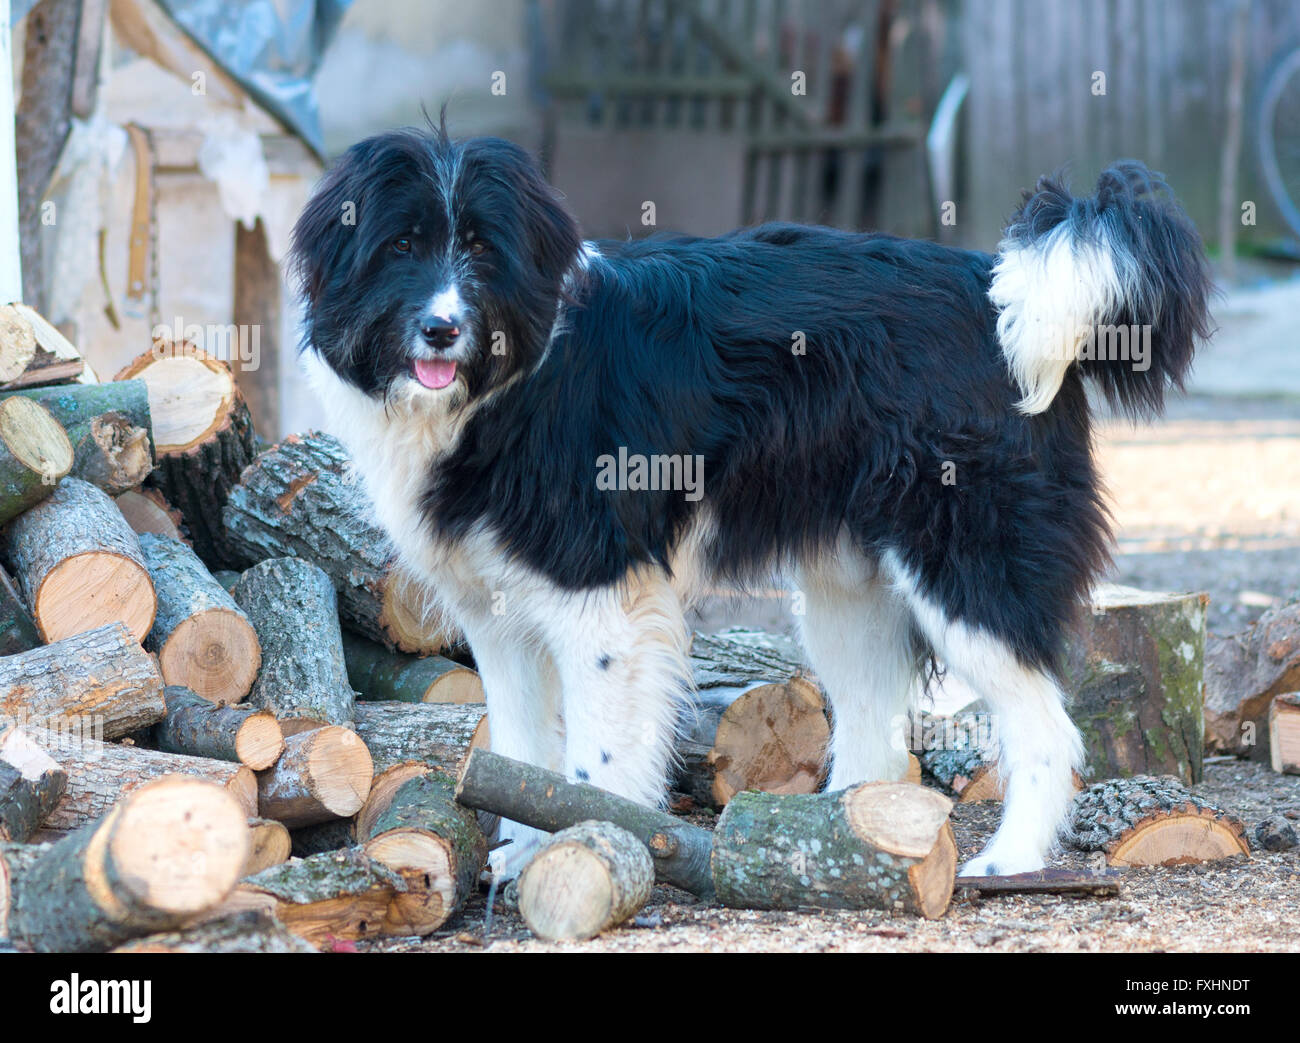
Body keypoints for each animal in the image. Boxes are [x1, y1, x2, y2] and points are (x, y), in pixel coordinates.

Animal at [289, 124, 1211, 879]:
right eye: (402, 245)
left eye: (481, 248)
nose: (443, 329)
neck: (502, 384)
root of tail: (994, 290)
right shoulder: (497, 612)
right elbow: (517, 751)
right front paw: (520, 853)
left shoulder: (599, 601)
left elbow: (593, 759)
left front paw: (587, 843)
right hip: (848, 592)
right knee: (877, 734)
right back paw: (820, 840)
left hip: (965, 564)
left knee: (1045, 728)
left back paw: (1009, 859)